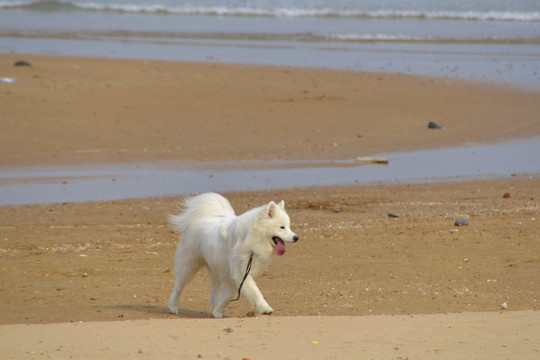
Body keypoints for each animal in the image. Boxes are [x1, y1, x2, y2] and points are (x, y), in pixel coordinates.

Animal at [167, 191, 298, 318]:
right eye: (282, 227)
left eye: (289, 227)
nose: (296, 237)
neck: (252, 238)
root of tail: (198, 219)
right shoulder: (240, 273)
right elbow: (255, 293)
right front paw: (265, 309)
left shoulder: (238, 275)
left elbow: (228, 296)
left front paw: (217, 311)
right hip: (188, 265)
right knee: (178, 287)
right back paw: (173, 307)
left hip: (217, 268)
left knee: (214, 290)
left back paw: (215, 305)